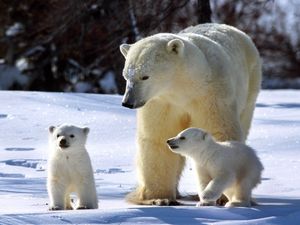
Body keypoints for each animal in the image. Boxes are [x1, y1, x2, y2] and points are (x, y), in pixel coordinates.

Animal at [120, 23, 262, 206]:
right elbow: (158, 137)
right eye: (126, 76)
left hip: (251, 85)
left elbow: (219, 130)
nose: (128, 102)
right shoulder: (161, 102)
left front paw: (221, 197)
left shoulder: (211, 94)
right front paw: (159, 198)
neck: (185, 87)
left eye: (145, 76)